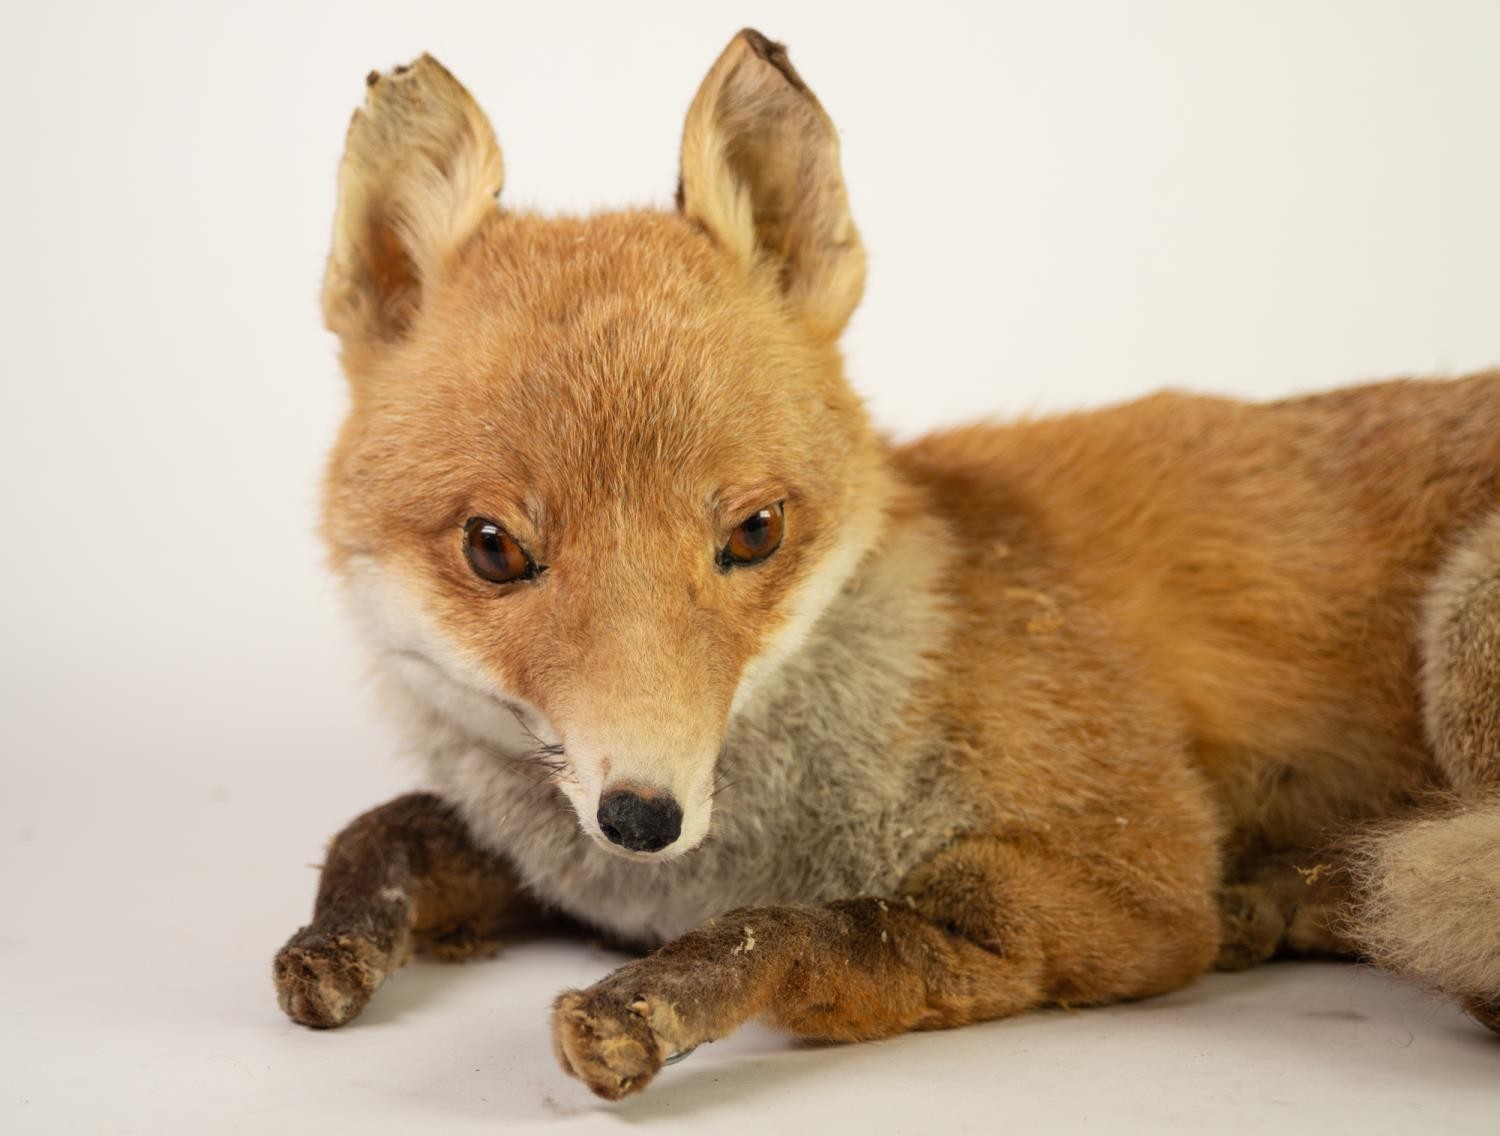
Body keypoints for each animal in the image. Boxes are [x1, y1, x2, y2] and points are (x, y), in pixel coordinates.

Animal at [276, 30, 1500, 1104]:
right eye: (494, 548)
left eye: (755, 531)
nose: (643, 817)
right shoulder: (573, 870)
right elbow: (390, 823)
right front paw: (333, 938)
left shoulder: (1119, 880)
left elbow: (808, 929)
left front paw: (656, 1003)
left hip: (1458, 632)